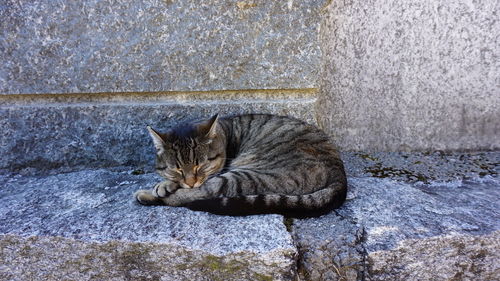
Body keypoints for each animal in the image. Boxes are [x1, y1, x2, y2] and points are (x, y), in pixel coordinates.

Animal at [134, 113, 348, 217]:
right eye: (177, 168)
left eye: (200, 166)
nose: (191, 181)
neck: (224, 133)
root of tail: (339, 170)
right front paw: (165, 183)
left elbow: (196, 188)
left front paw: (161, 188)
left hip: (246, 175)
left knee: (200, 194)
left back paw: (147, 195)